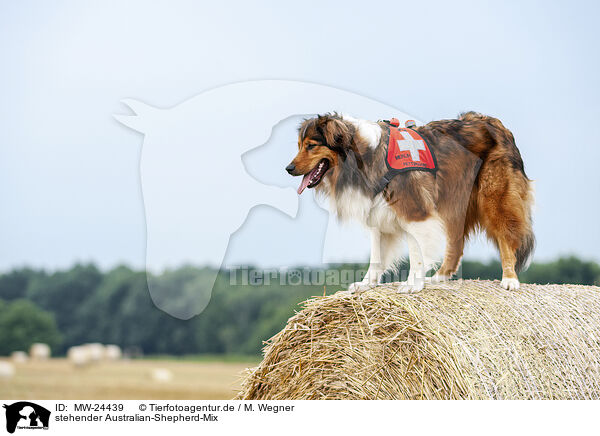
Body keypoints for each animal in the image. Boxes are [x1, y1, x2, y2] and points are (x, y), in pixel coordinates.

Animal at [286, 111, 536, 292]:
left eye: (311, 145)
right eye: (298, 146)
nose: (288, 169)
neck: (364, 155)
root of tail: (495, 123)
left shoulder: (415, 212)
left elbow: (416, 254)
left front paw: (412, 285)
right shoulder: (379, 216)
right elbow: (376, 257)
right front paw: (367, 284)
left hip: (494, 198)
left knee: (506, 237)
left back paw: (510, 279)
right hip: (454, 201)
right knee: (456, 244)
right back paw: (440, 277)